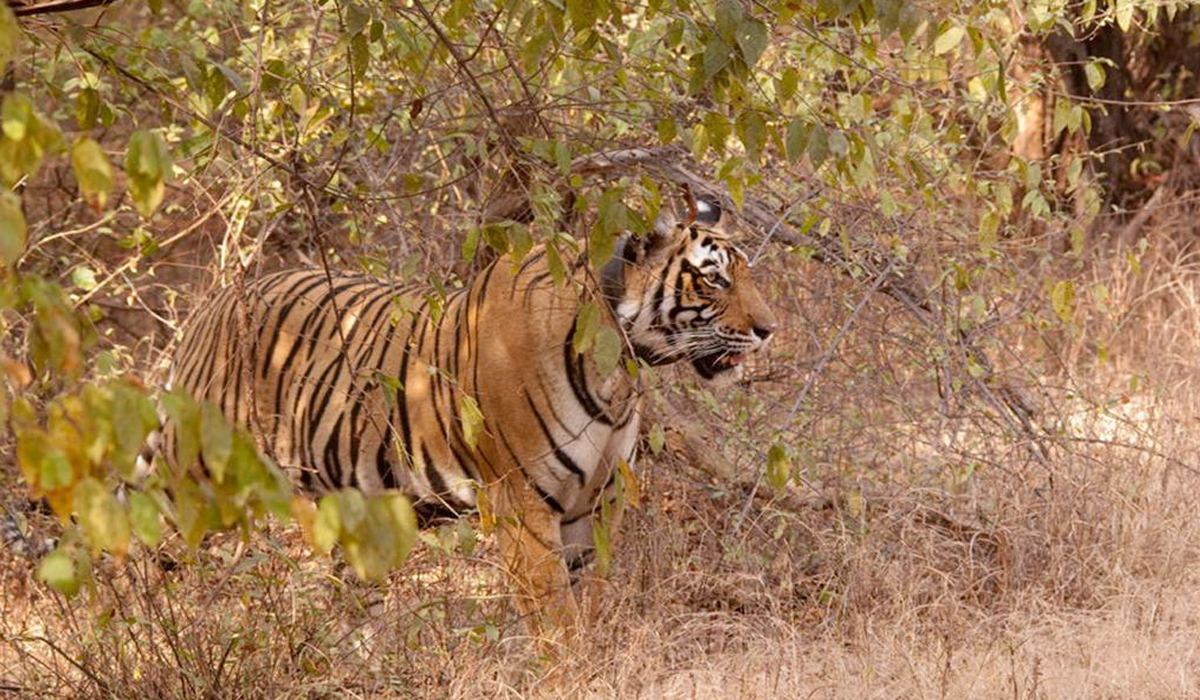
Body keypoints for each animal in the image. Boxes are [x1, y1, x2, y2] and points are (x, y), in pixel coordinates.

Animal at [162, 196, 777, 633]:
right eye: (714, 278)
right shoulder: (526, 508)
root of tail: (217, 300)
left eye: (747, 274)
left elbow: (592, 606)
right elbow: (559, 626)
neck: (618, 367)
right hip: (193, 483)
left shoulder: (596, 506)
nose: (769, 329)